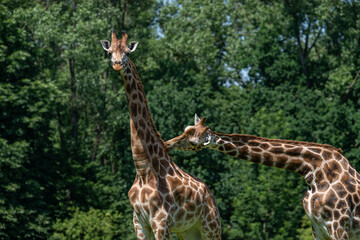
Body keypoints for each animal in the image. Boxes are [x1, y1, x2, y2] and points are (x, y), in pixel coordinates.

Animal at [100, 32, 221, 240]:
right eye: (110, 52)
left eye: (127, 52)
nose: (117, 64)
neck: (143, 169)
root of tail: (211, 196)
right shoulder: (139, 222)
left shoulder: (161, 221)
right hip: (189, 231)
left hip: (211, 226)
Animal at [164, 114, 360, 240]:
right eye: (186, 129)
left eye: (193, 142)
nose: (167, 144)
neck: (313, 171)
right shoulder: (318, 228)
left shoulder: (339, 226)